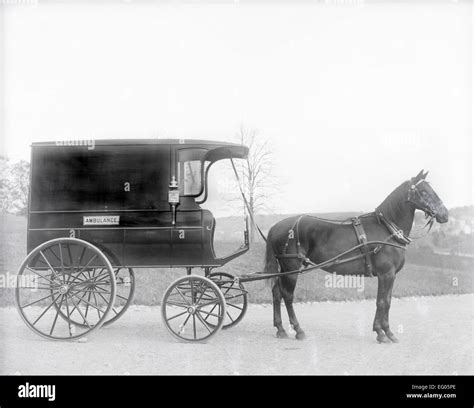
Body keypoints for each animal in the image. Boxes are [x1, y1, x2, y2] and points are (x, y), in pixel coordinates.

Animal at [264, 171, 450, 342]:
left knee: (276, 293)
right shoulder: (386, 274)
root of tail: (275, 227)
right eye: (424, 191)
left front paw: (386, 331)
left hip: (283, 268)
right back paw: (298, 330)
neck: (387, 229)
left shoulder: (391, 276)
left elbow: (387, 301)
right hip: (291, 268)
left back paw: (280, 329)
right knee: (287, 296)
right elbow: (382, 302)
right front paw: (382, 333)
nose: (445, 214)